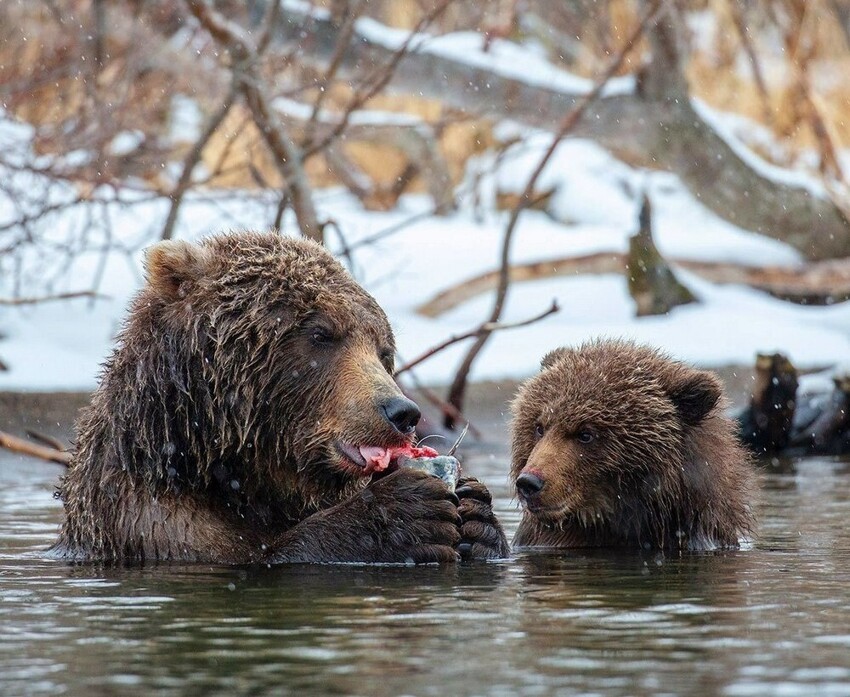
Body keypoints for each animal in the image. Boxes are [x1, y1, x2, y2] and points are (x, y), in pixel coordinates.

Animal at [51, 231, 504, 564]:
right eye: (322, 334)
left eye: (383, 349)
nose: (402, 411)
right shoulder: (153, 522)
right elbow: (266, 556)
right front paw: (404, 511)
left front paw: (476, 512)